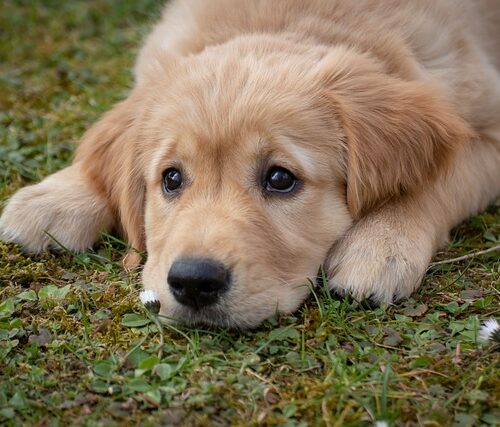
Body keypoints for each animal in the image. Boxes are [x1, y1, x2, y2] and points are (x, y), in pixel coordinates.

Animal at [0, 0, 500, 330]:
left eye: (280, 179)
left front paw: (381, 243)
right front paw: (56, 197)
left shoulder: (489, 130)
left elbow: (440, 180)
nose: (193, 282)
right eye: (171, 178)